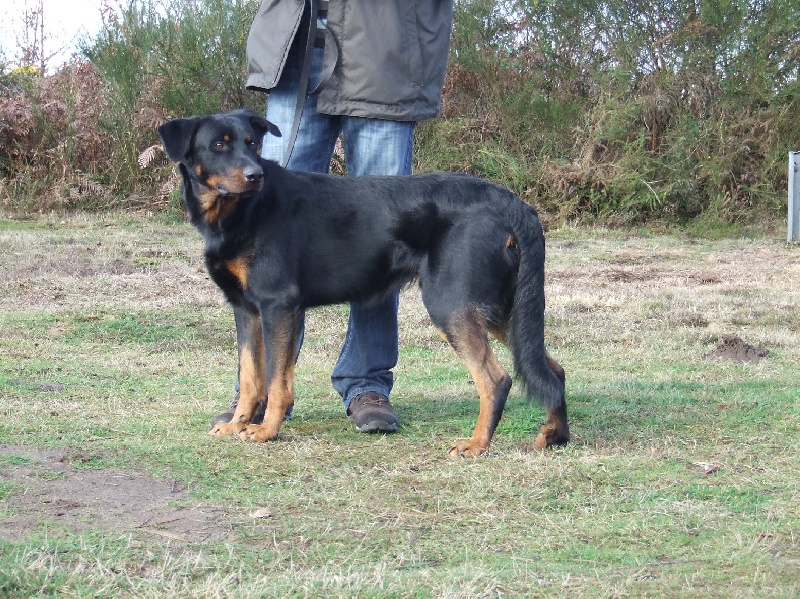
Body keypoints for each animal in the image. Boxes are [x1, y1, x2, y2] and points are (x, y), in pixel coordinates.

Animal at [156, 110, 568, 458]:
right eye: (219, 145)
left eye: (251, 143)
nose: (255, 174)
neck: (240, 211)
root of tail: (513, 203)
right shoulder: (247, 311)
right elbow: (250, 377)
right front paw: (237, 424)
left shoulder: (278, 306)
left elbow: (275, 382)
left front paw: (266, 431)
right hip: (501, 309)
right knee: (551, 369)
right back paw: (554, 435)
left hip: (452, 304)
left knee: (496, 379)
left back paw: (477, 444)